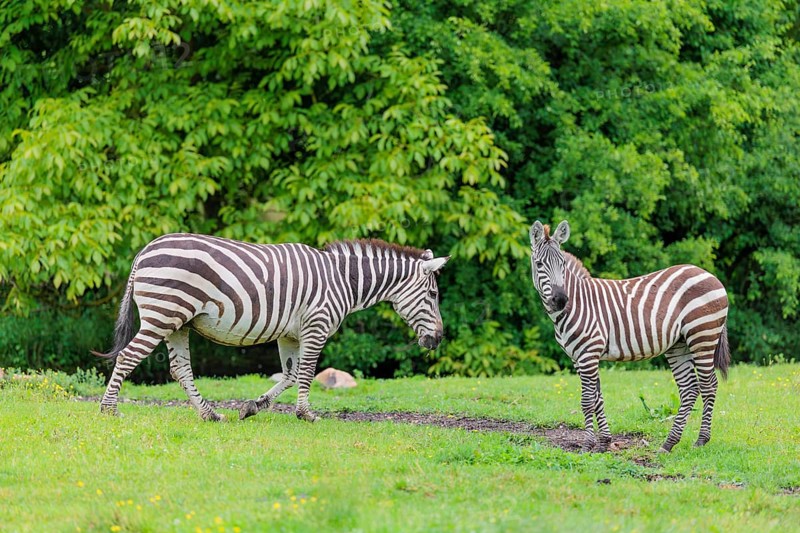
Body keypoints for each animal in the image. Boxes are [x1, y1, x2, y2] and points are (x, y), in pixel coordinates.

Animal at [94, 233, 450, 422]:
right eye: (433, 295)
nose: (438, 339)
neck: (342, 280)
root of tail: (144, 251)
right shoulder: (316, 325)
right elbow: (306, 373)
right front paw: (306, 414)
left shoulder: (289, 334)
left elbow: (290, 375)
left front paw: (252, 407)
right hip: (163, 315)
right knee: (128, 357)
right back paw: (108, 409)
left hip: (178, 322)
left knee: (179, 369)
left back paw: (210, 414)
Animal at [529, 220, 730, 453]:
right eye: (539, 264)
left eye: (562, 264)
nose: (561, 299)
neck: (578, 303)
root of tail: (709, 274)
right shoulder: (579, 357)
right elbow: (597, 398)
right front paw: (604, 442)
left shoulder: (589, 353)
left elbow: (587, 400)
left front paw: (587, 445)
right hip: (679, 345)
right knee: (689, 389)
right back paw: (669, 443)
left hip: (702, 336)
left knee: (708, 385)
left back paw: (701, 440)